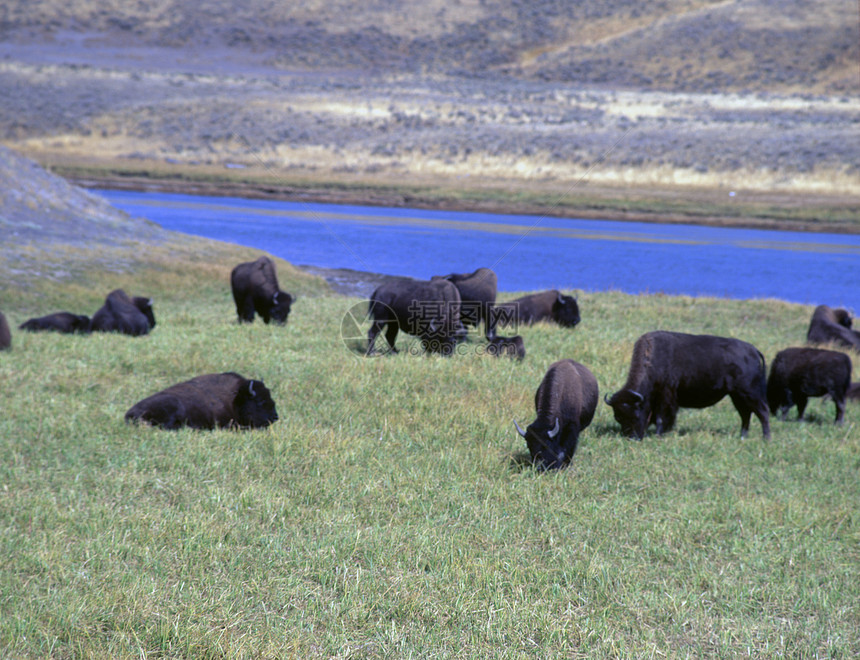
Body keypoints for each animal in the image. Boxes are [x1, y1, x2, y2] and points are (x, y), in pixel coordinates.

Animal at [604, 330, 772, 444]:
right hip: (736, 396)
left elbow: (661, 418)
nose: (631, 438)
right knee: (746, 415)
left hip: (749, 393)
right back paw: (743, 437)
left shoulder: (666, 397)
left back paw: (766, 439)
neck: (653, 359)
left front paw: (659, 435)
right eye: (618, 417)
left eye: (635, 414)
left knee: (762, 412)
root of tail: (754, 351)